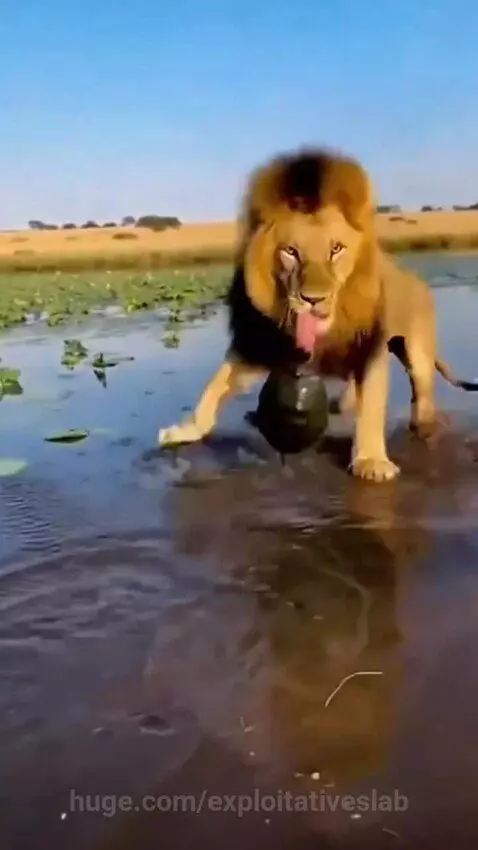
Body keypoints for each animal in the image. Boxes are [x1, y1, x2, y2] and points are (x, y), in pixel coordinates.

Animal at [158, 147, 478, 482]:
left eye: (336, 249)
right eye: (291, 252)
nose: (313, 299)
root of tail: (417, 280)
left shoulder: (369, 349)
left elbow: (372, 406)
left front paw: (371, 461)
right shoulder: (259, 346)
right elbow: (212, 389)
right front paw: (182, 432)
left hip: (418, 353)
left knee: (423, 393)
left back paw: (422, 424)